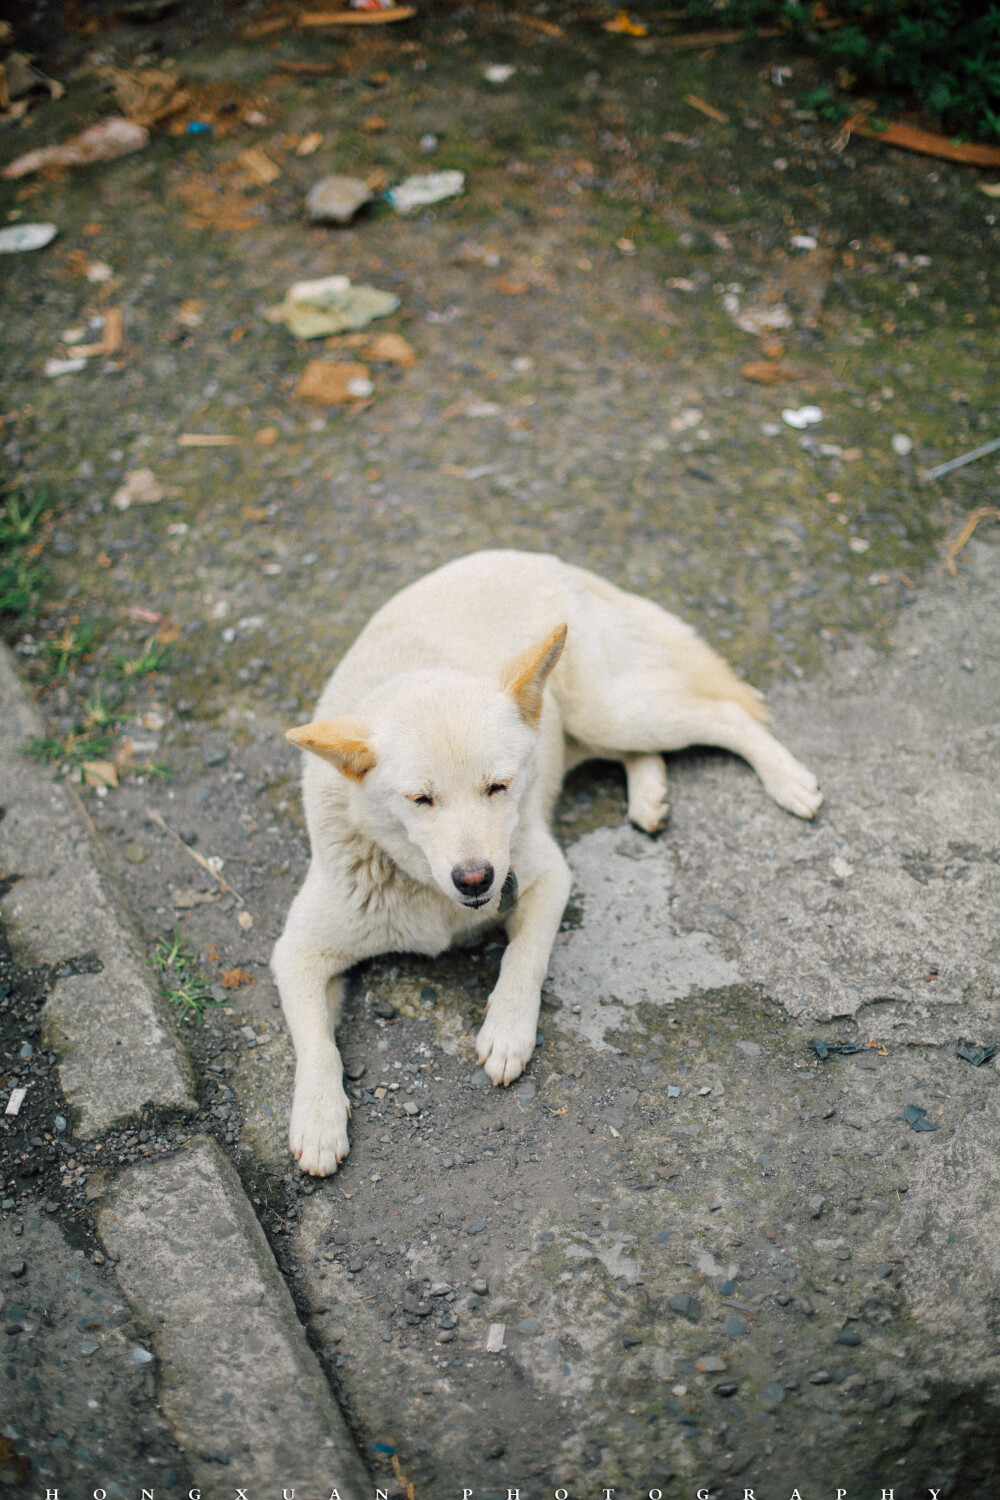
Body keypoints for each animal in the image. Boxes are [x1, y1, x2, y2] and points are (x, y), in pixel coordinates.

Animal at [274, 549, 821, 1170]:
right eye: (420, 800)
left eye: (498, 786)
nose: (476, 879)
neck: (427, 890)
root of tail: (537, 557)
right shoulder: (298, 952)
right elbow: (315, 1043)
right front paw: (318, 1118)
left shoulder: (549, 875)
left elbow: (525, 957)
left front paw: (508, 1029)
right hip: (586, 729)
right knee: (644, 751)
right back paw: (650, 796)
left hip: (608, 712)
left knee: (726, 715)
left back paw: (787, 780)